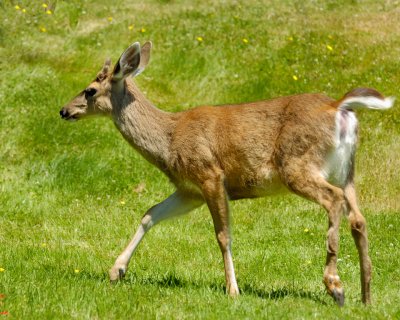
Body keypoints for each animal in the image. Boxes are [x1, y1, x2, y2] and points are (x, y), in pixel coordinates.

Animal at [59, 41, 394, 306]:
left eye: (90, 91)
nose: (64, 110)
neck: (169, 140)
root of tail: (339, 107)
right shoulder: (189, 190)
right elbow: (149, 214)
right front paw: (116, 271)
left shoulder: (209, 174)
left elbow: (223, 235)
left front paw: (232, 289)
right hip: (346, 170)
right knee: (358, 219)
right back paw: (365, 296)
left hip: (297, 166)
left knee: (333, 200)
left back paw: (335, 286)